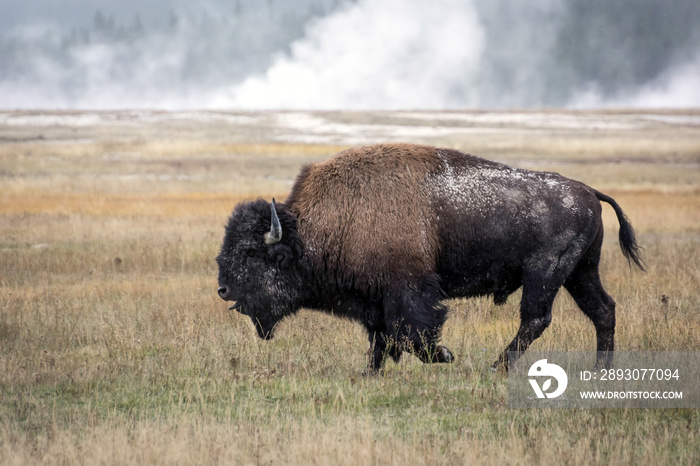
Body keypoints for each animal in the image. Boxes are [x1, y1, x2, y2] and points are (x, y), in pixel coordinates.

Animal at [216, 144, 644, 374]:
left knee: (536, 319)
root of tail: (587, 190)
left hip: (545, 274)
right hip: (580, 272)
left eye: (253, 253)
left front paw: (445, 355)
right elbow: (380, 338)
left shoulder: (408, 292)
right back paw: (599, 370)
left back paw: (496, 367)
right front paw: (369, 374)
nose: (222, 289)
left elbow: (413, 333)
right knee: (603, 310)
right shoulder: (376, 302)